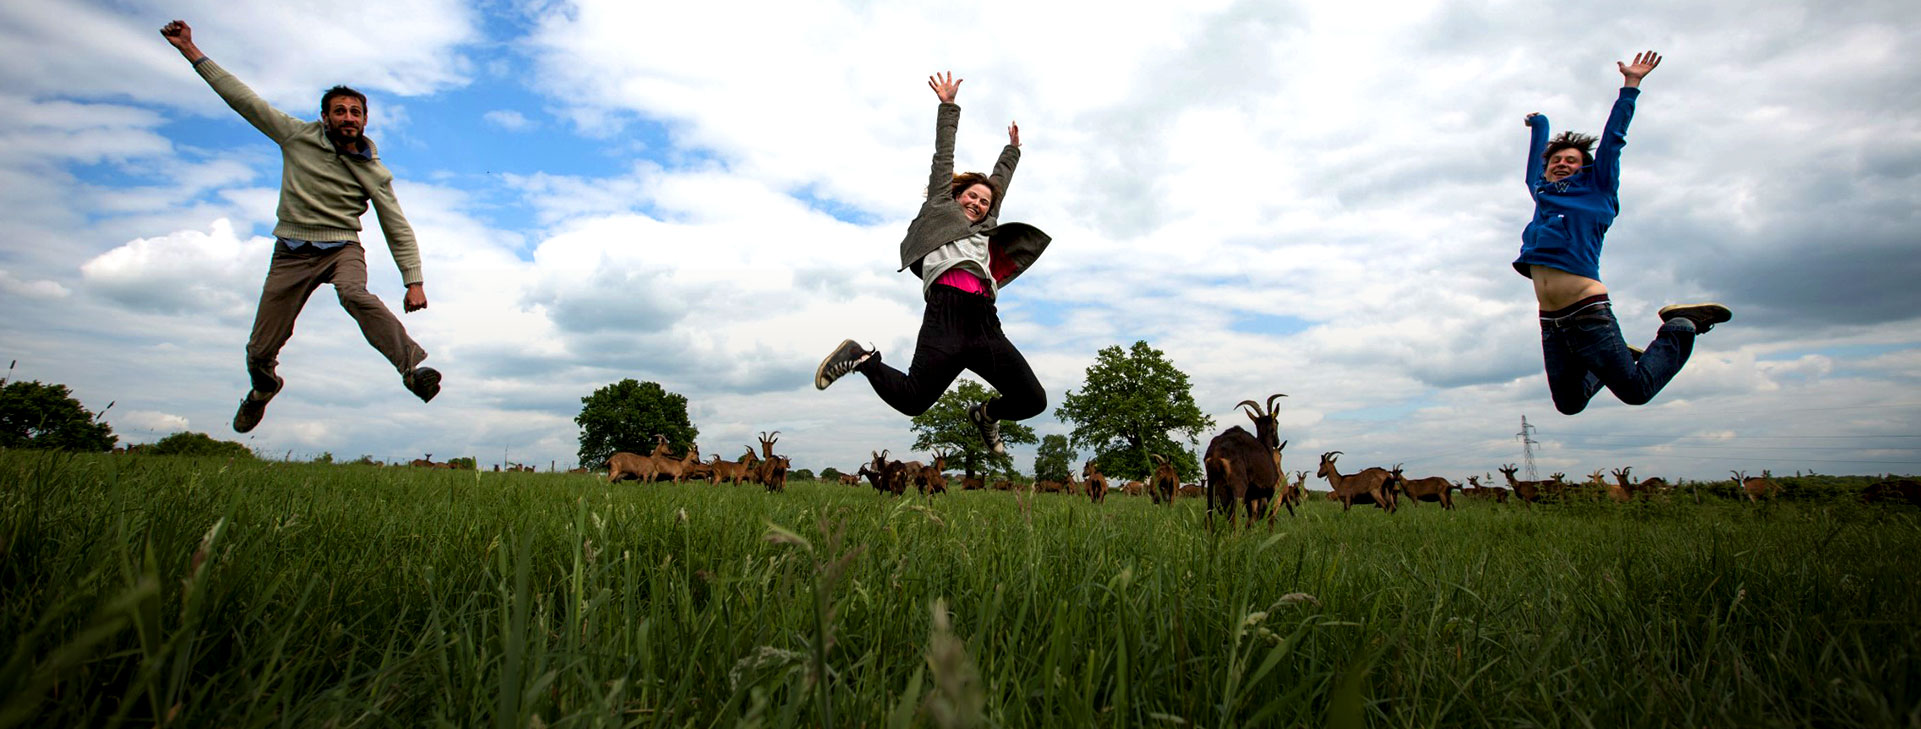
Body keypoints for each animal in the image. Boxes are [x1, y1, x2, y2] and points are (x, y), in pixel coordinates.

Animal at [1206, 394, 1298, 527]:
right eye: (1277, 422)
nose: (1277, 441)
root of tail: (1217, 452)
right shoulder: (1270, 490)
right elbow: (1270, 519)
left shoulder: (1252, 498)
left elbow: (1251, 519)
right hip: (1238, 489)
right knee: (1235, 519)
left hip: (1210, 487)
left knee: (1209, 517)